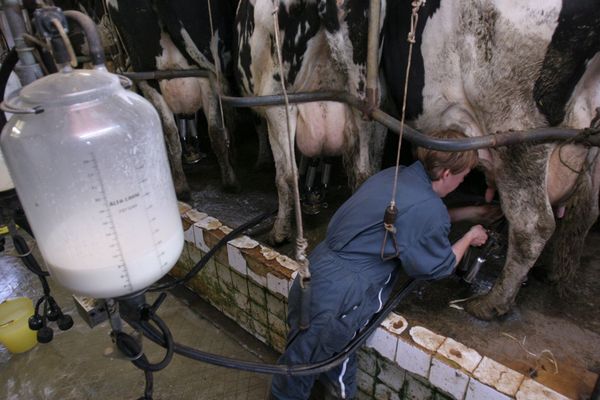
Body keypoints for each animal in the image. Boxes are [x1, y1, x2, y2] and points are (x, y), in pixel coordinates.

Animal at [104, 0, 238, 198]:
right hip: (207, 67)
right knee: (216, 128)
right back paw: (230, 179)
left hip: (147, 74)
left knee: (170, 132)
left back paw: (181, 187)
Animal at [234, 0, 384, 245]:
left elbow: (282, 175)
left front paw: (280, 232)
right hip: (362, 93)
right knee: (363, 170)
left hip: (278, 98)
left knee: (289, 174)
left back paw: (280, 231)